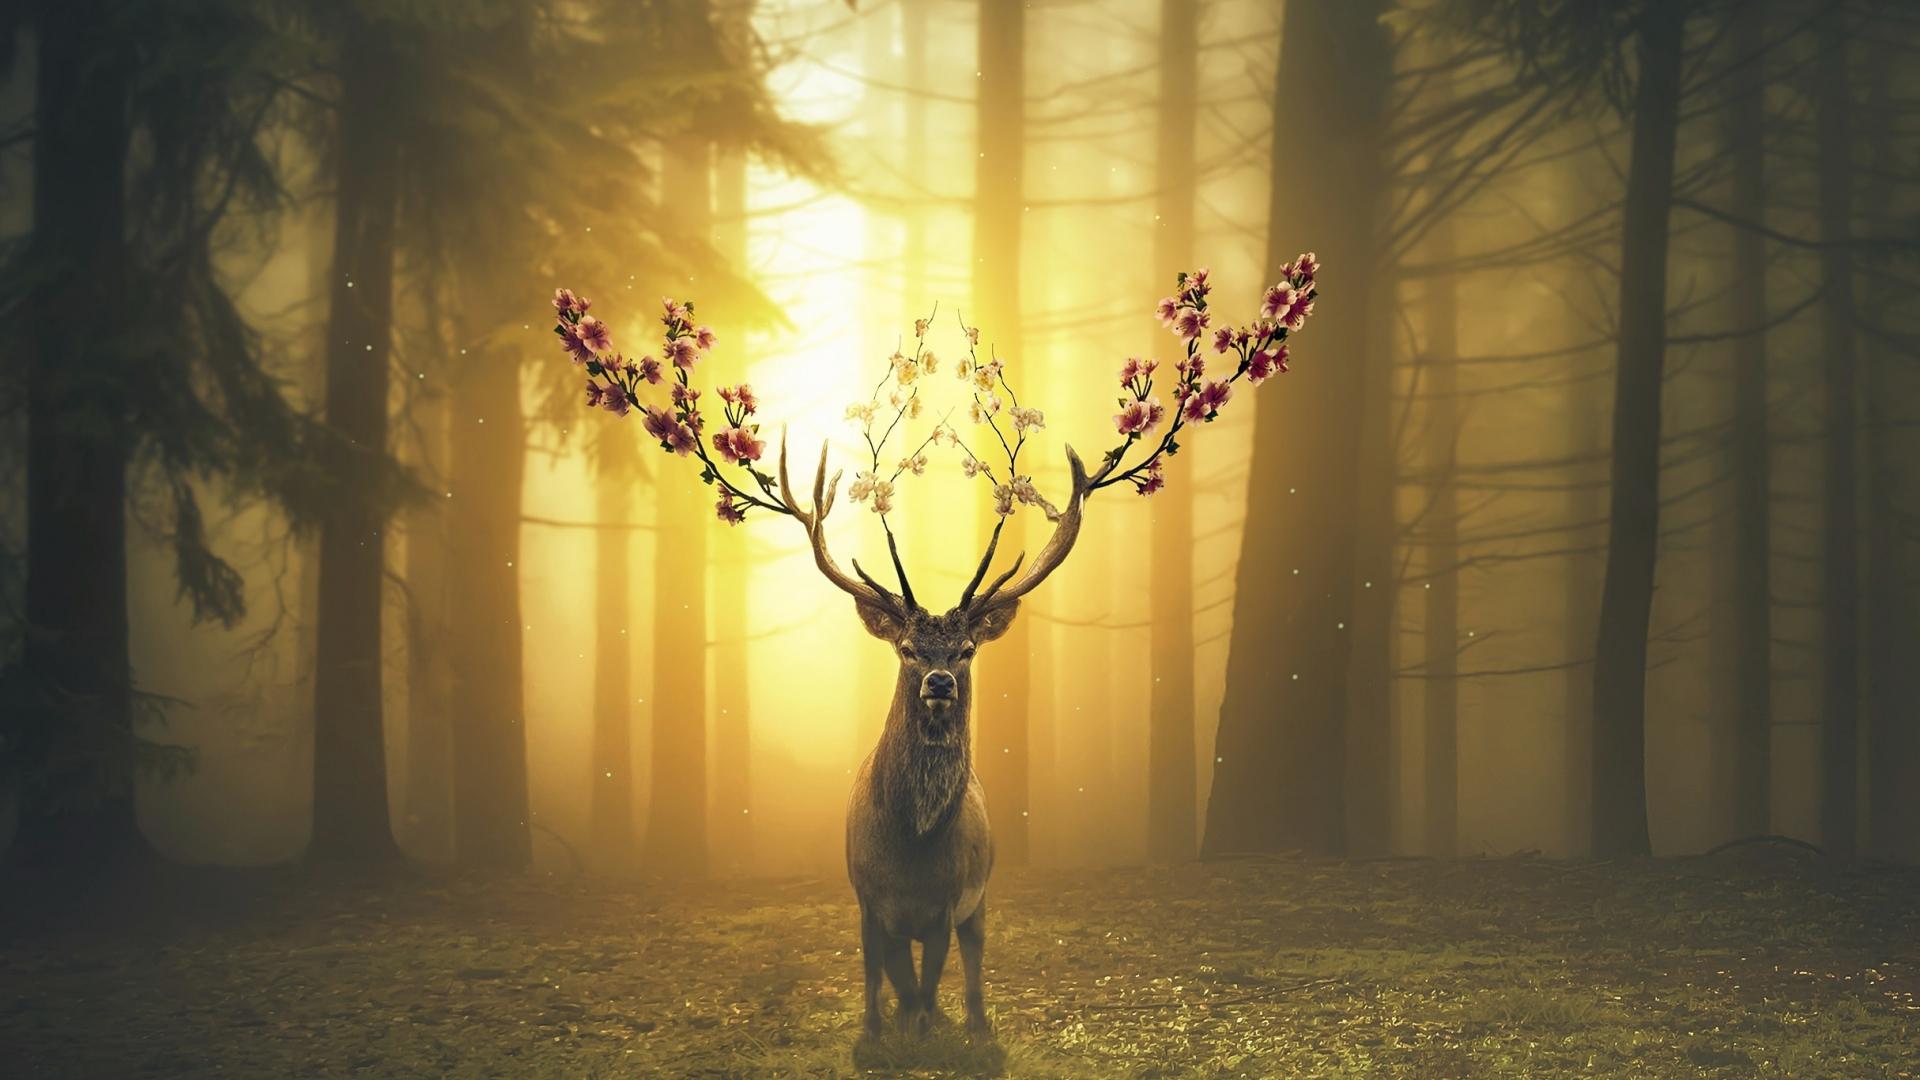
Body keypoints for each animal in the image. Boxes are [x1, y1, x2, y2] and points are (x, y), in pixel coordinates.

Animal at [548, 251, 1319, 1042]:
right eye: (909, 649)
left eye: (967, 649)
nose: (940, 683)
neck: (913, 852)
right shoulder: (864, 898)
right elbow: (880, 975)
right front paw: (879, 1034)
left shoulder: (952, 902)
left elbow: (930, 978)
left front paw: (931, 1030)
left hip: (984, 898)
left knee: (970, 962)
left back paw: (973, 1025)